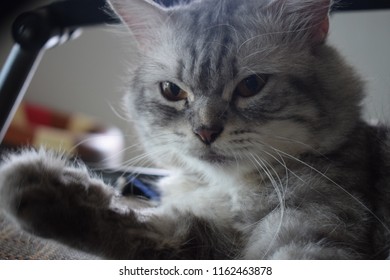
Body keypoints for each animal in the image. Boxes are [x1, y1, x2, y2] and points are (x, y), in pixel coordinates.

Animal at [0, 0, 390, 260]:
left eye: (251, 86)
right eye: (172, 91)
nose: (205, 132)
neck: (227, 190)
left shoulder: (313, 237)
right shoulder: (205, 238)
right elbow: (151, 230)